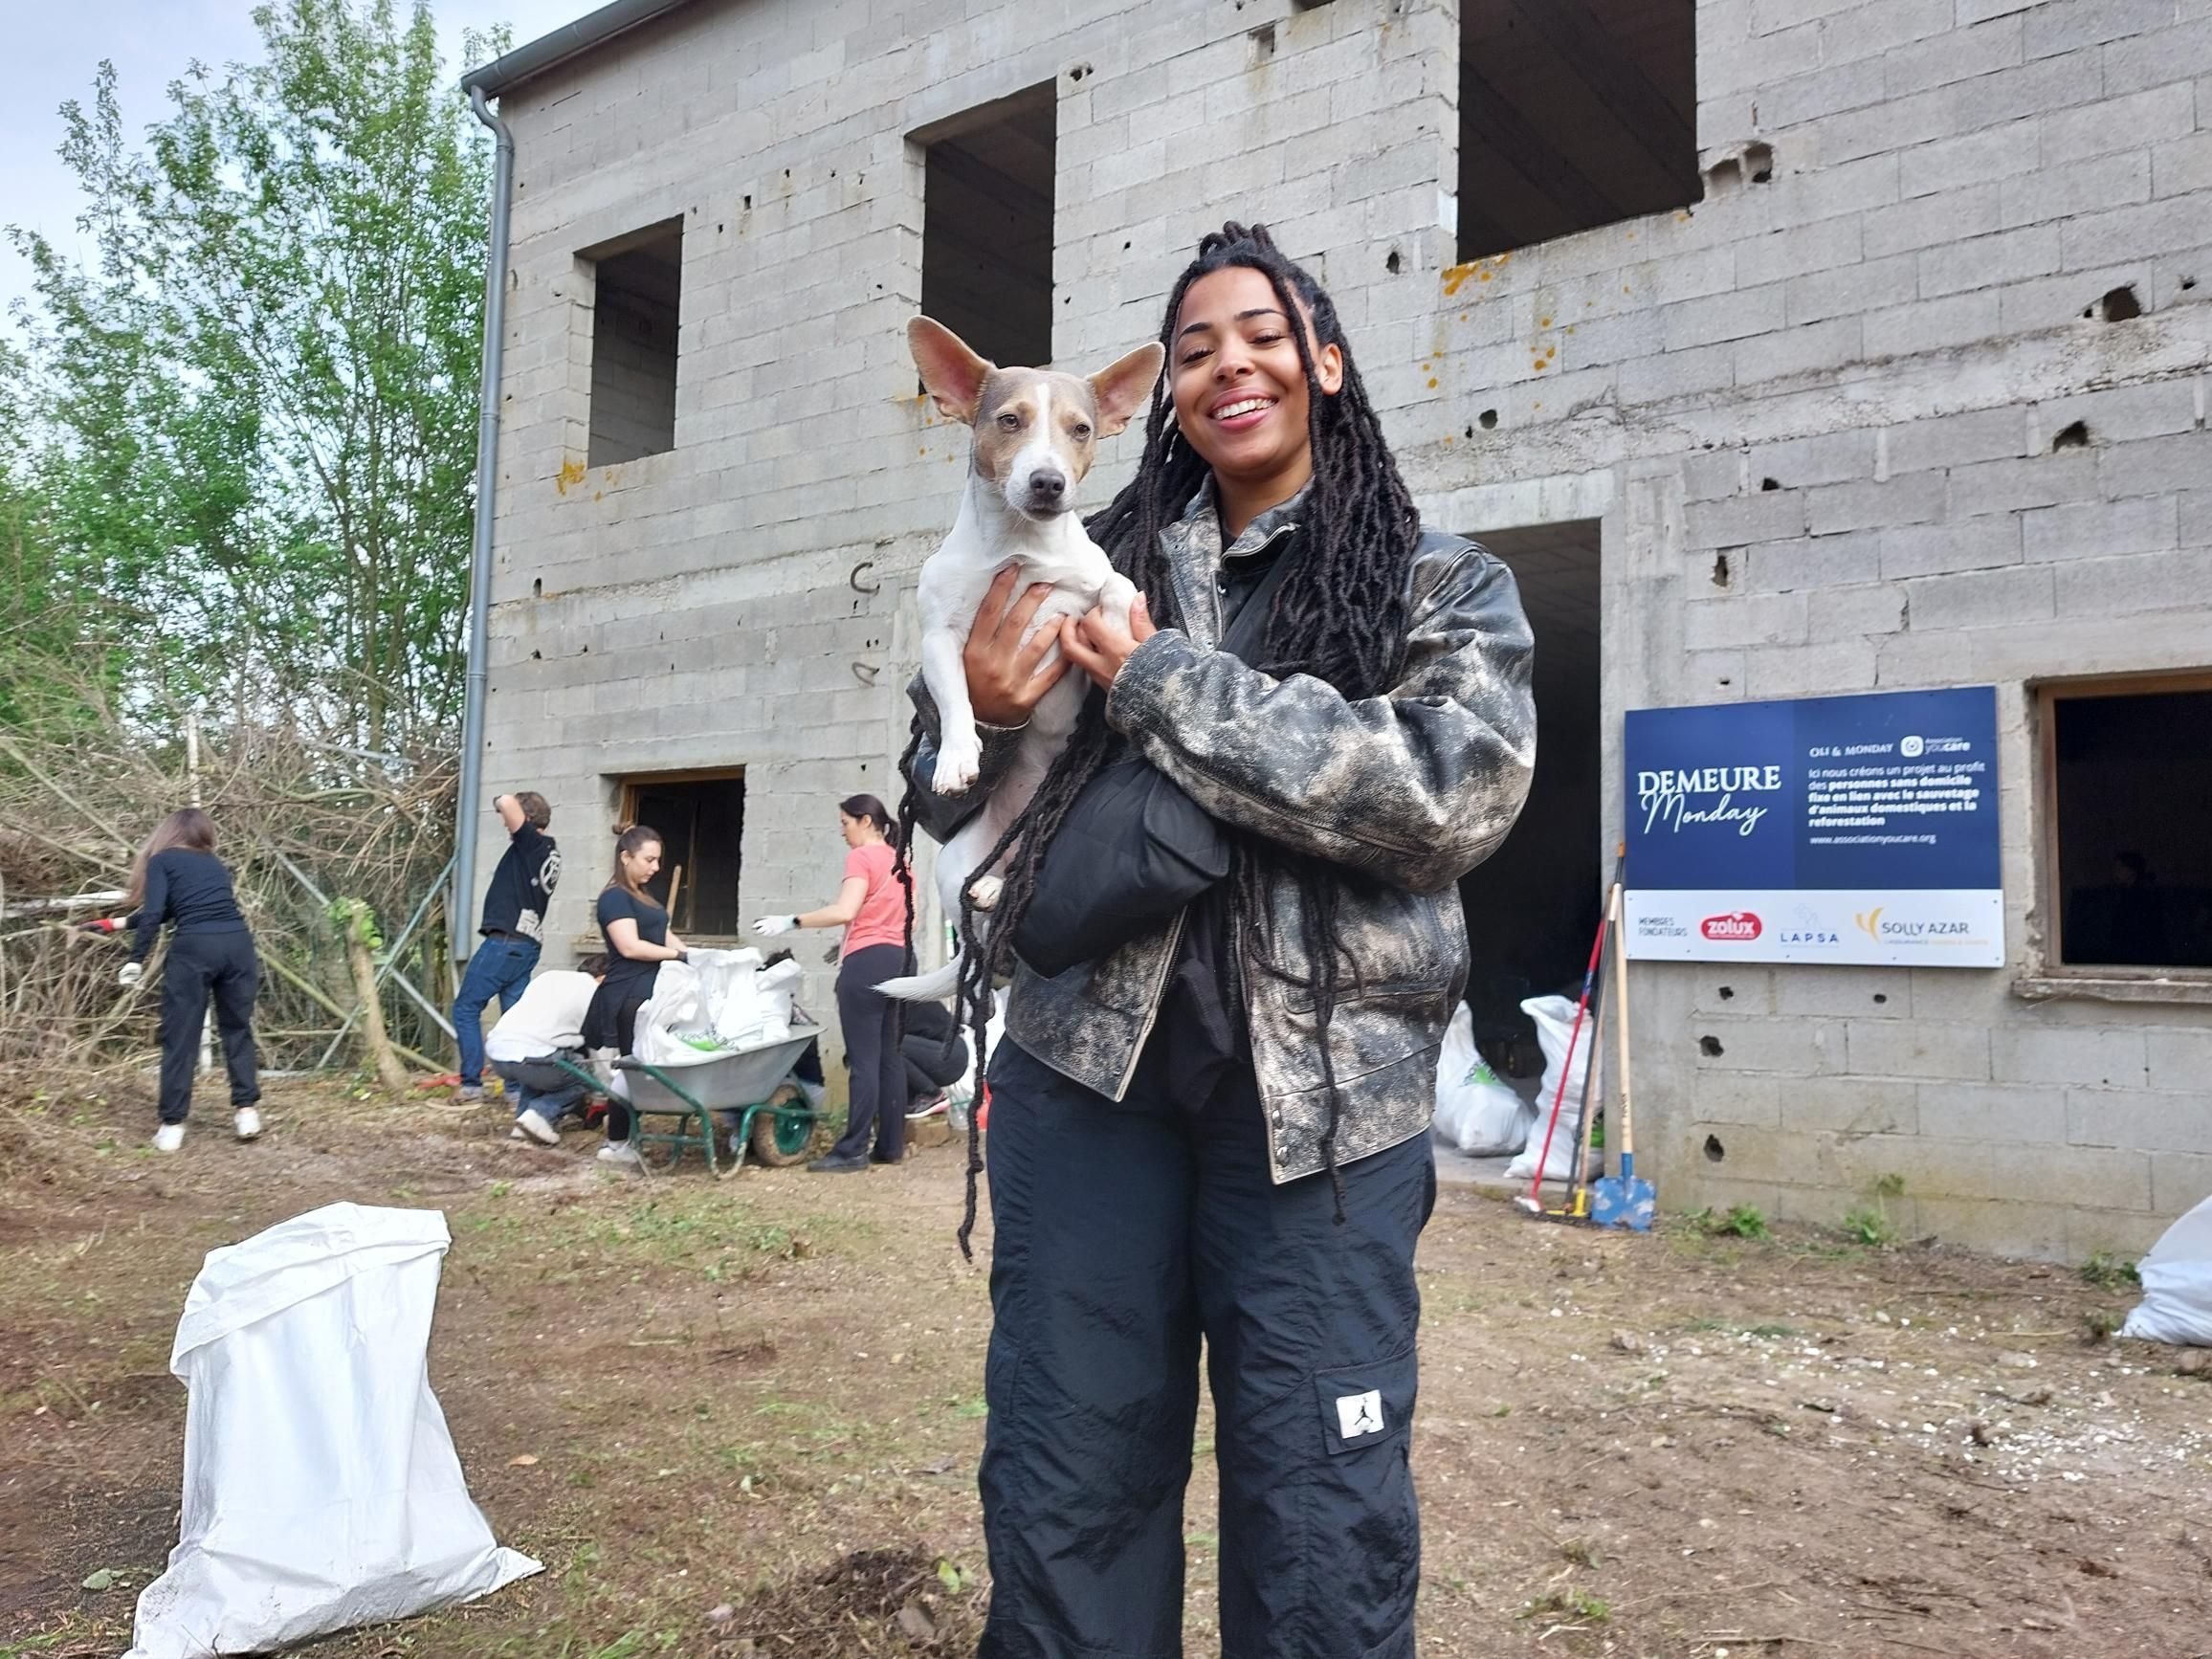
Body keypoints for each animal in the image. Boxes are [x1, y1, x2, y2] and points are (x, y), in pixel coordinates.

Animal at [871, 321, 1167, 1008]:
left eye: (1080, 429)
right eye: (1009, 420)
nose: (1049, 482)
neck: (1021, 548)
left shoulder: (1094, 586)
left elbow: (1115, 592)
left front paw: (1128, 627)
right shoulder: (941, 640)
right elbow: (956, 699)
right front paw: (957, 757)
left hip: (1055, 839)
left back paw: (997, 890)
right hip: (955, 862)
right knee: (981, 927)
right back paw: (985, 895)